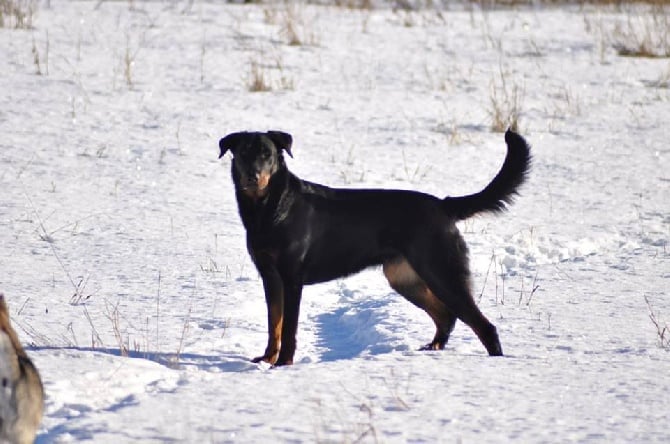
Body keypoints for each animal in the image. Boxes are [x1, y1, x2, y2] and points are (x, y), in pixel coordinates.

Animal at [219, 128, 532, 364]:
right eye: (244, 153)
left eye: (268, 155)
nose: (253, 176)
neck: (268, 209)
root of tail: (443, 206)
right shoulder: (270, 277)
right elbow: (274, 324)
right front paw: (267, 359)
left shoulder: (292, 279)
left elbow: (289, 328)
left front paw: (283, 363)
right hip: (405, 277)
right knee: (446, 316)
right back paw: (431, 350)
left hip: (442, 272)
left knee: (483, 325)